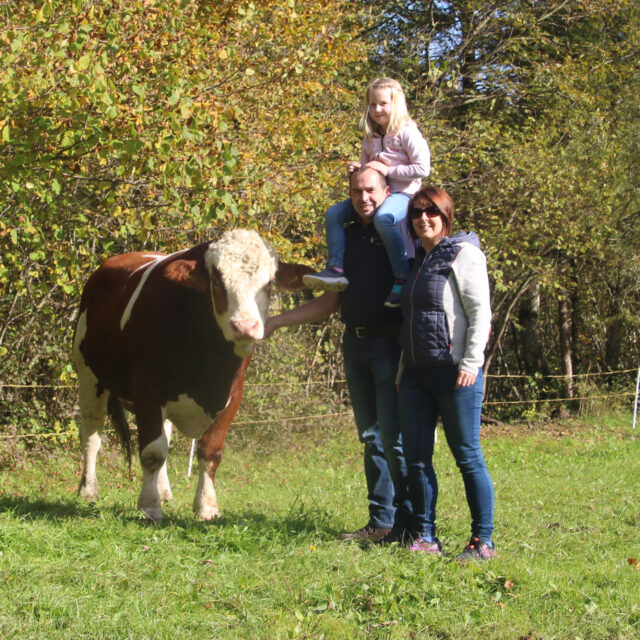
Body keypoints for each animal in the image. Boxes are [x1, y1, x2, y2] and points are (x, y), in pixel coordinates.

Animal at [72, 229, 310, 522]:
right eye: (217, 279)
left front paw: (206, 506)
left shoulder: (233, 395)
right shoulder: (148, 391)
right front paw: (150, 506)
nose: (244, 326)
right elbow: (152, 452)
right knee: (91, 434)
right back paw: (88, 490)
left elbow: (210, 451)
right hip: (87, 374)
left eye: (269, 282)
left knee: (165, 432)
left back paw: (164, 491)